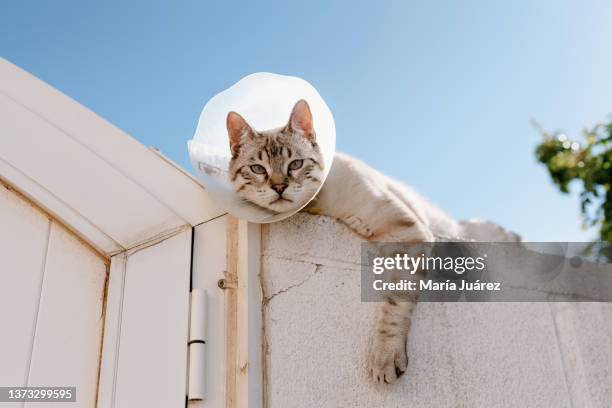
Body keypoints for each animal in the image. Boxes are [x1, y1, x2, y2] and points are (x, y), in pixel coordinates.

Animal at [227, 100, 520, 384]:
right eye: (258, 169)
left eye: (295, 165)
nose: (279, 187)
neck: (315, 207)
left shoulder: (406, 233)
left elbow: (395, 303)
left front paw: (385, 357)